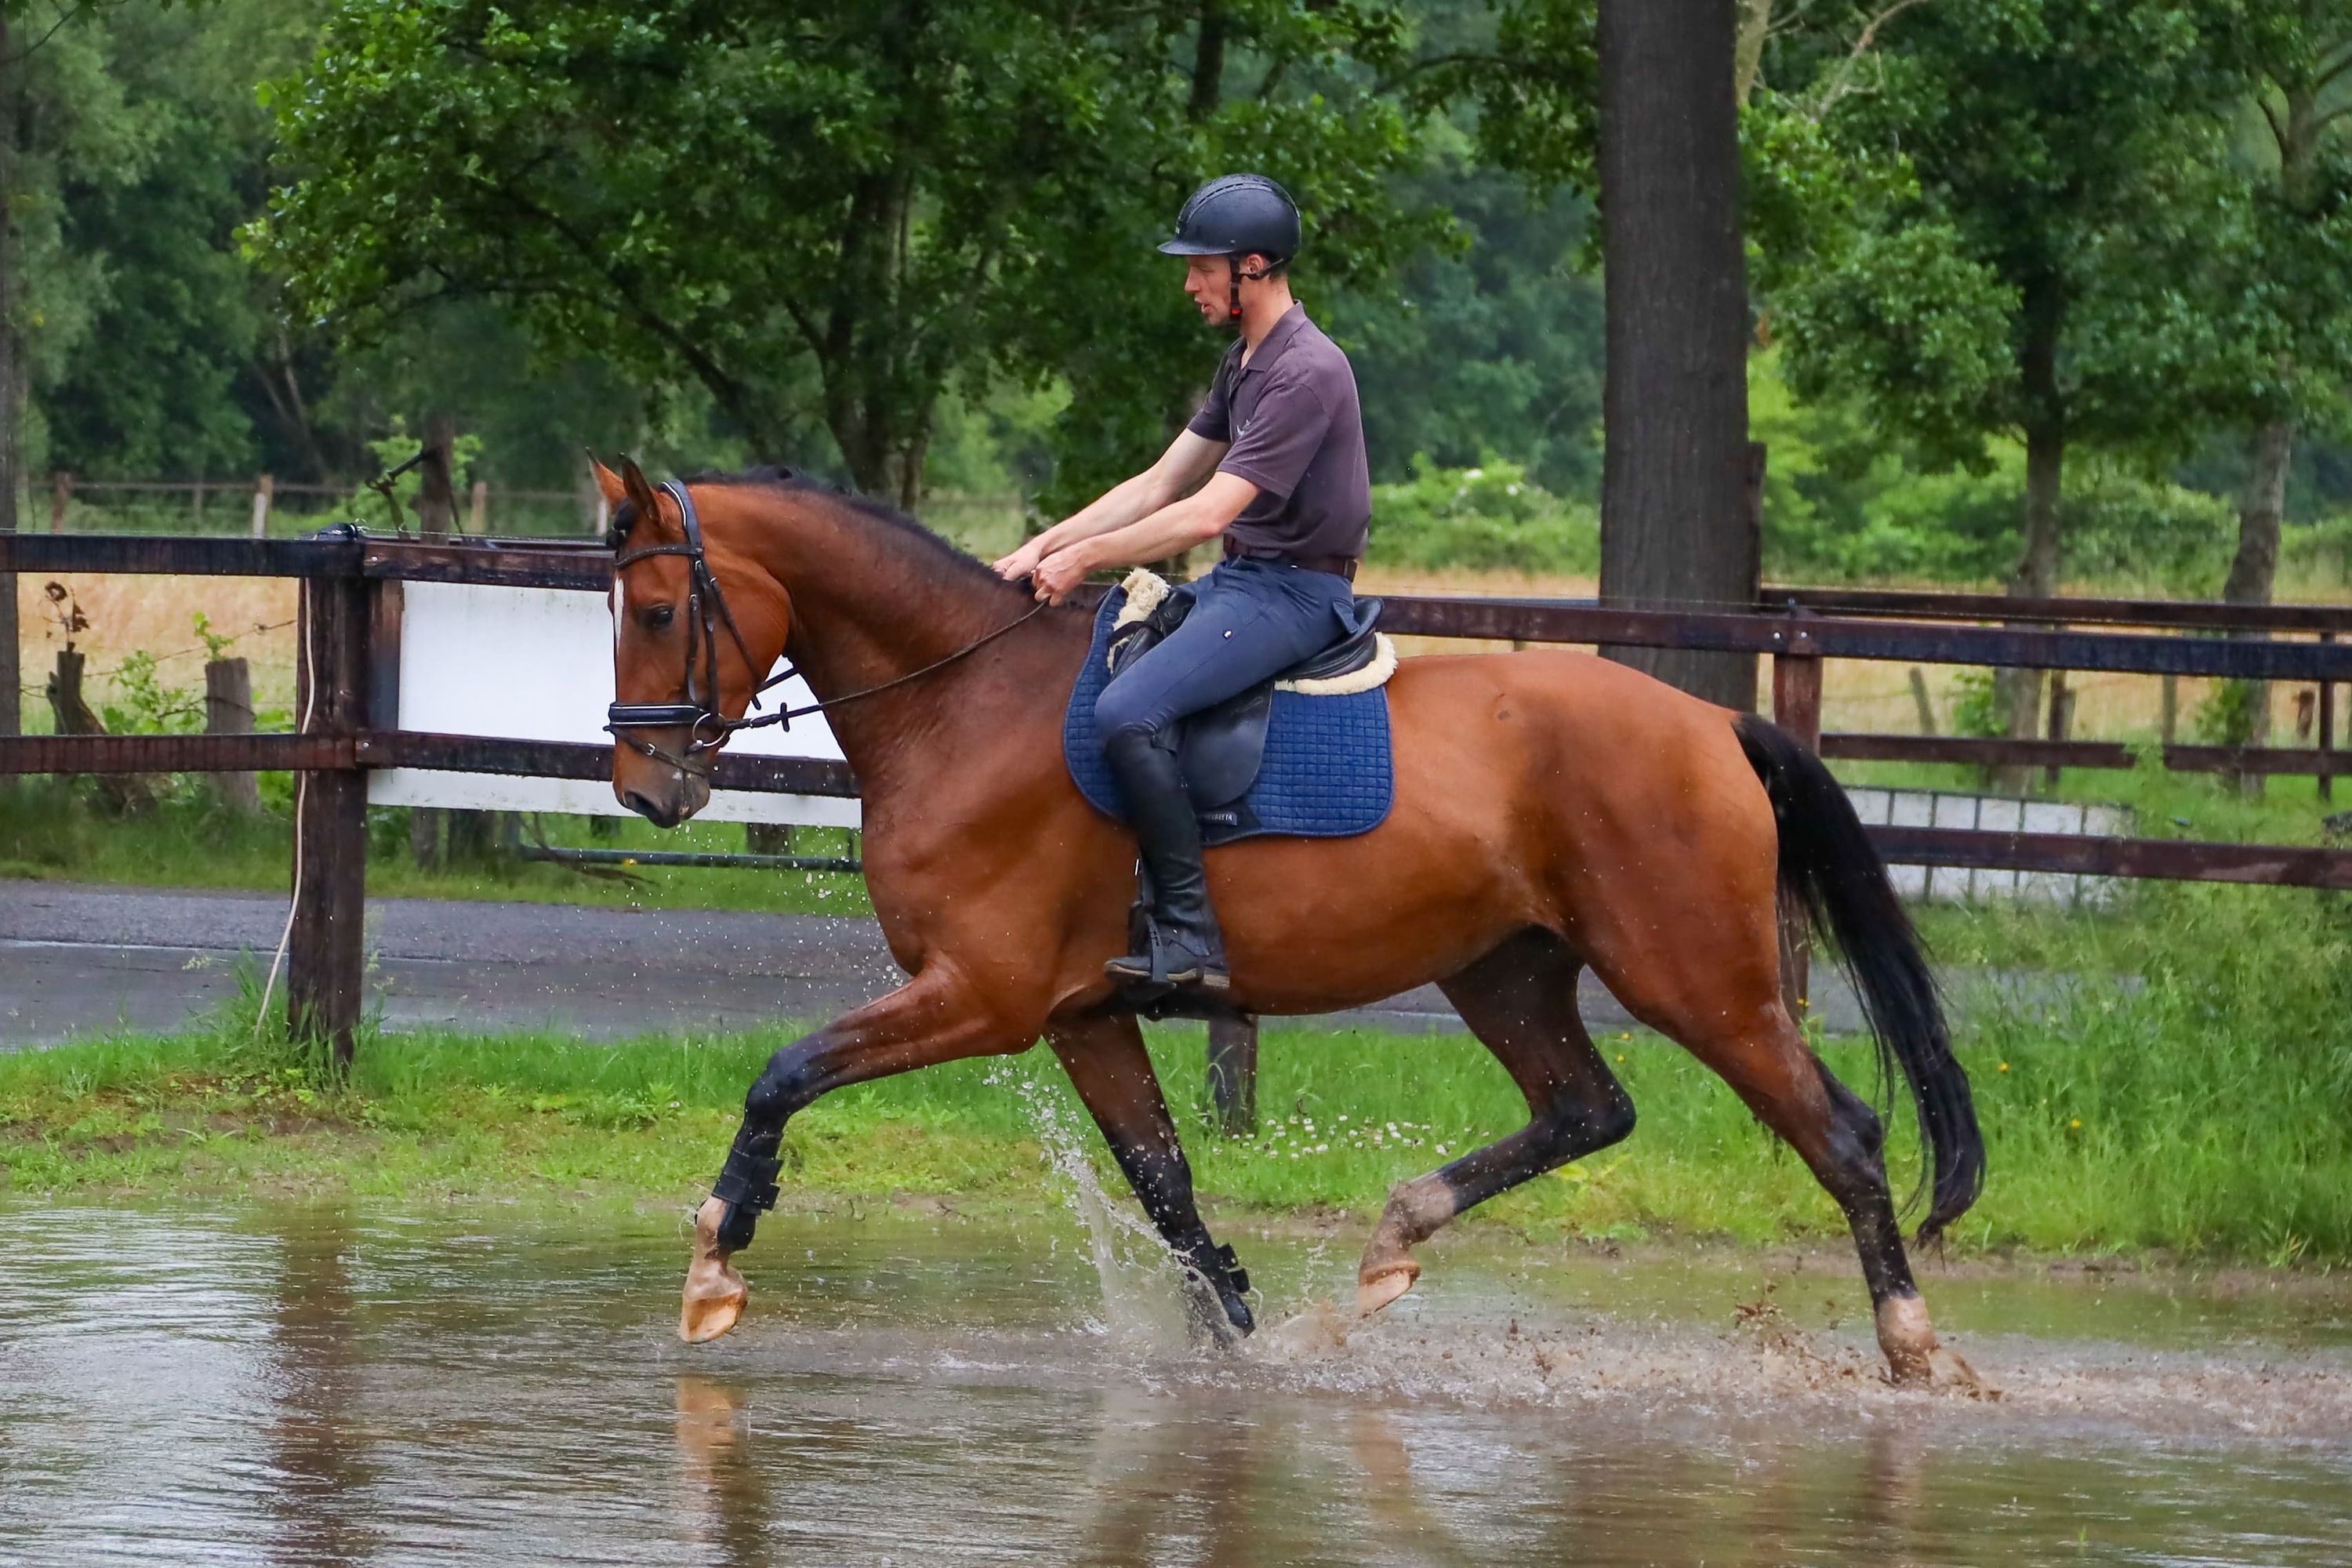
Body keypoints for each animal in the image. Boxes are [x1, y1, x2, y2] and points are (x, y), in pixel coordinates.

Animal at [595, 459, 1984, 1384]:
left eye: (659, 614)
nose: (646, 792)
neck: (962, 704)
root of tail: (1714, 726)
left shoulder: (982, 998)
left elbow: (784, 1076)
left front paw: (715, 1264)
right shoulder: (1081, 1015)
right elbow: (1164, 1185)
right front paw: (1230, 1337)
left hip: (1698, 979)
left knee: (1841, 1137)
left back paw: (1912, 1354)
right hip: (1505, 970)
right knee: (1588, 1108)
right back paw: (1393, 1240)